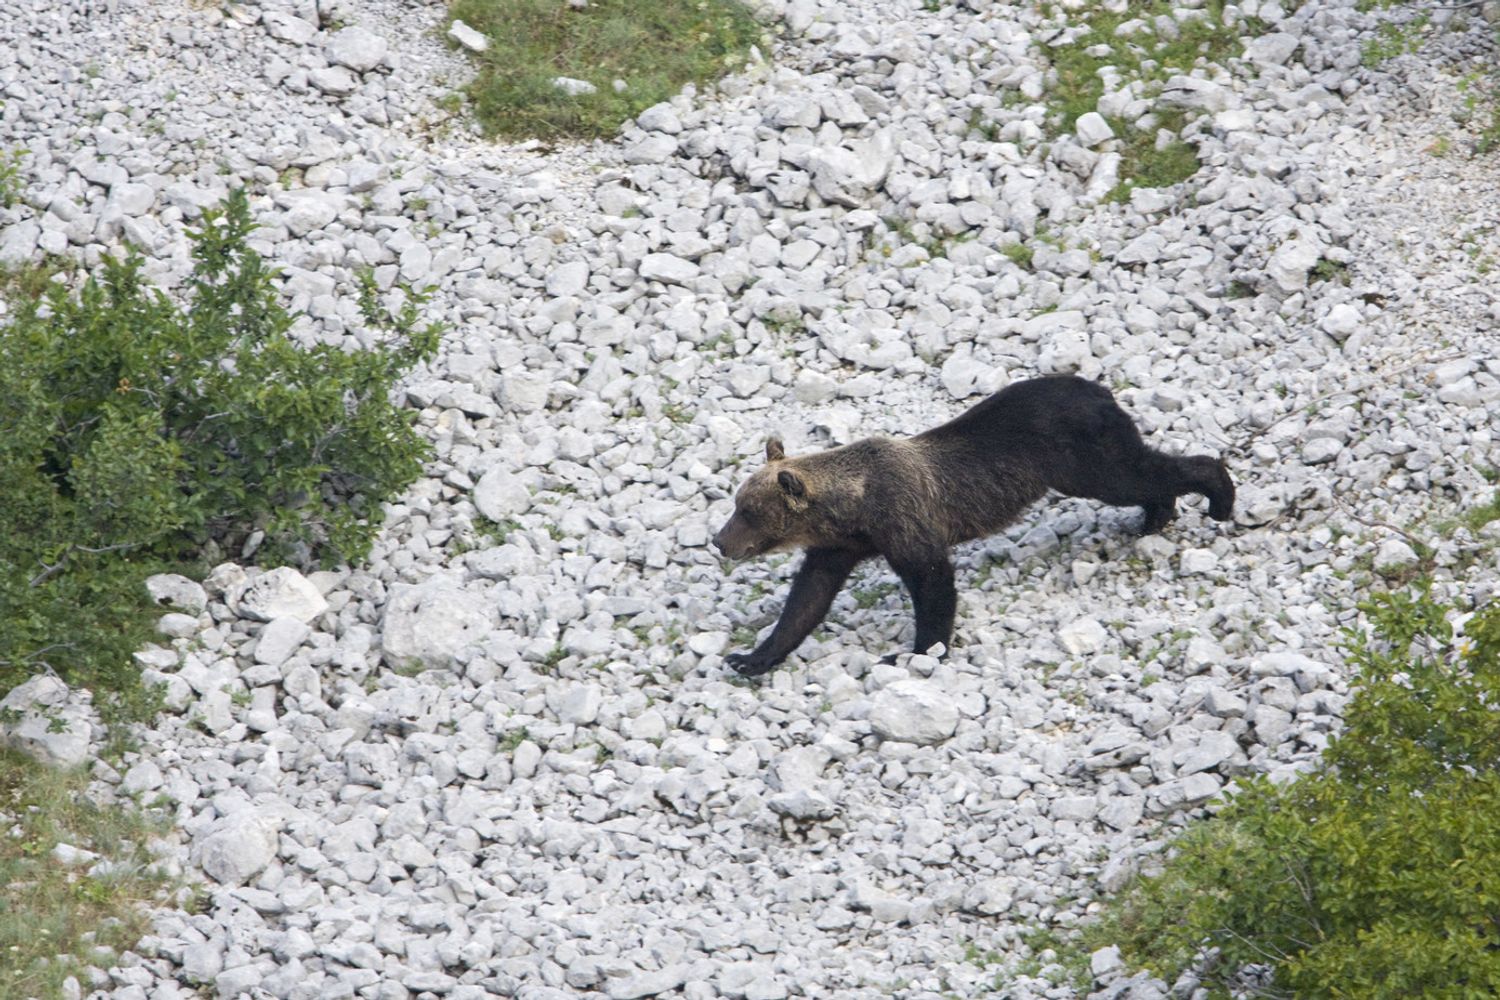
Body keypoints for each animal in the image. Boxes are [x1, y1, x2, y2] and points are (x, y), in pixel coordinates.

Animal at [712, 374, 1235, 676]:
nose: (719, 541)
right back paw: (1154, 515)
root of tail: (1100, 388)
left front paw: (913, 652)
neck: (854, 508)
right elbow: (807, 598)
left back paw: (1218, 497)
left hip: (1080, 454)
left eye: (748, 511)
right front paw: (750, 657)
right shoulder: (840, 544)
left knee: (1133, 473)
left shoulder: (903, 519)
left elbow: (933, 583)